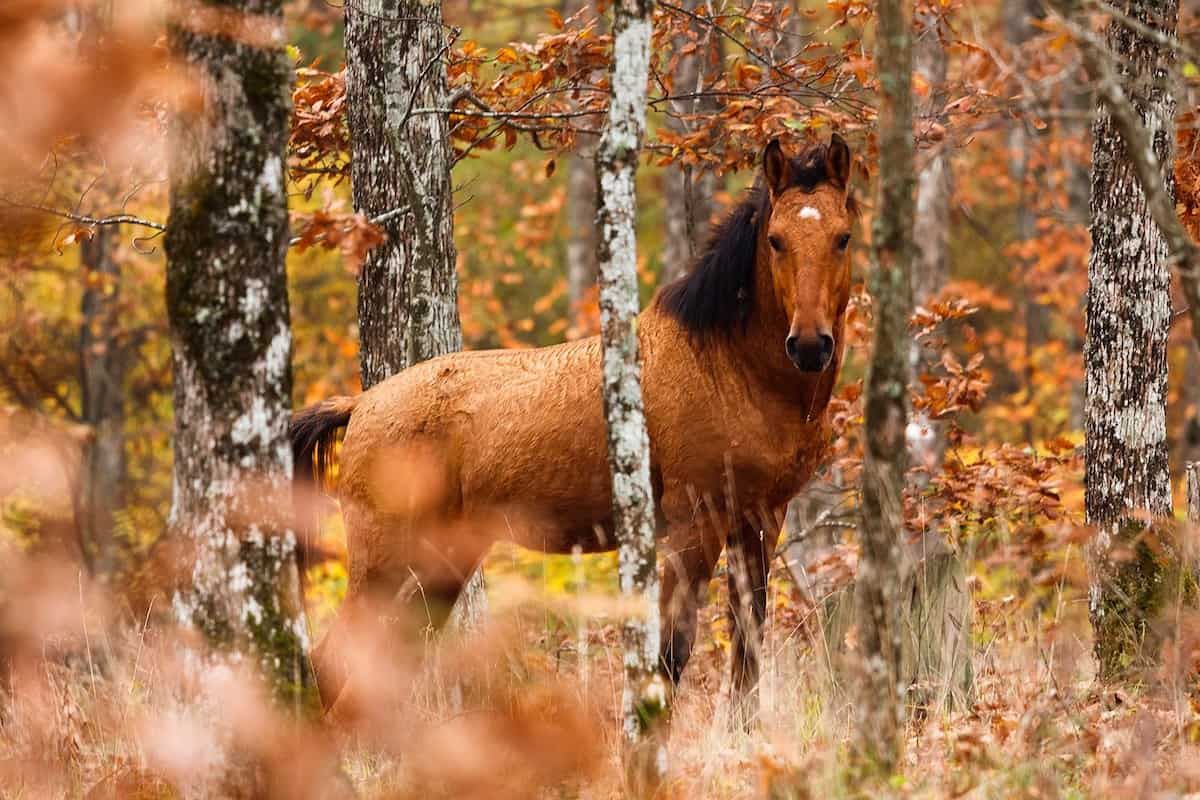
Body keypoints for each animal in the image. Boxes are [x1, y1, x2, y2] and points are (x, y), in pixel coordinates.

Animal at [297, 134, 864, 714]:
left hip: (442, 562)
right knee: (332, 664)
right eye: (776, 240)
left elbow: (747, 656)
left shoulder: (760, 520)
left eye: (842, 237)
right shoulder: (694, 525)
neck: (727, 367)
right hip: (384, 563)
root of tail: (361, 405)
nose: (811, 345)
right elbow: (671, 654)